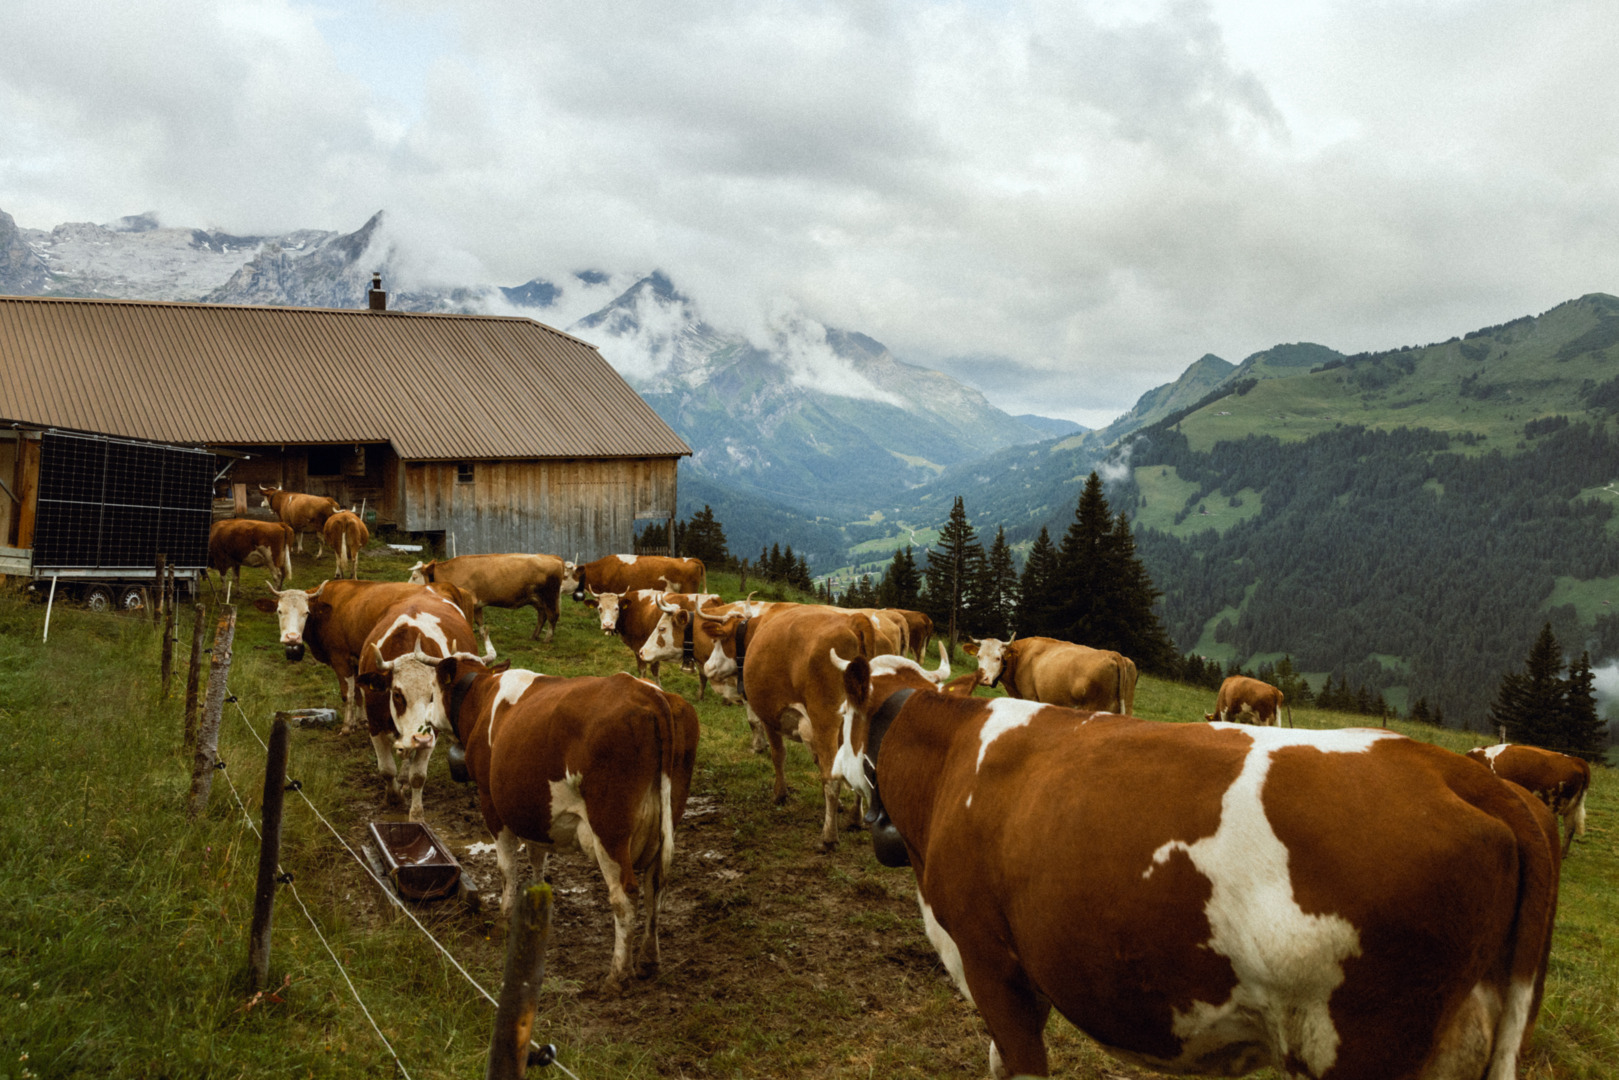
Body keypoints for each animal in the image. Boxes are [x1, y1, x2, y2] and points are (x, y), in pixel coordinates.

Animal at [253, 578, 477, 733]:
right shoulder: (356, 660)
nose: (291, 638)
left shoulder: (340, 658)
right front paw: (361, 721)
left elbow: (348, 694)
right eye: (279, 611)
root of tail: (443, 585)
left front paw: (347, 727)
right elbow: (359, 692)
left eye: (306, 612)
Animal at [352, 590, 484, 822]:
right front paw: (393, 797)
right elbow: (386, 769)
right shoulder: (374, 725)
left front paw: (416, 814)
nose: (420, 738)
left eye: (433, 695)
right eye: (397, 694)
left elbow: (418, 776)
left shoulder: (431, 733)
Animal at [409, 553, 565, 642]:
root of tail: (554, 557)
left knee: (553, 616)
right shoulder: (478, 604)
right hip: (537, 600)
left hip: (550, 597)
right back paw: (534, 636)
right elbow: (479, 621)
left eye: (415, 576)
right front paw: (481, 635)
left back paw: (547, 638)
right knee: (542, 616)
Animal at [419, 654, 700, 995]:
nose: (427, 717)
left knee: (625, 896)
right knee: (655, 885)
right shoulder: (535, 811)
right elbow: (537, 856)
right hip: (667, 818)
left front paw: (504, 920)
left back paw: (617, 975)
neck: (483, 695)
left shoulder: (491, 802)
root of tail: (649, 692)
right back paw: (649, 959)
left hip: (609, 830)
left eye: (432, 690)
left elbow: (506, 868)